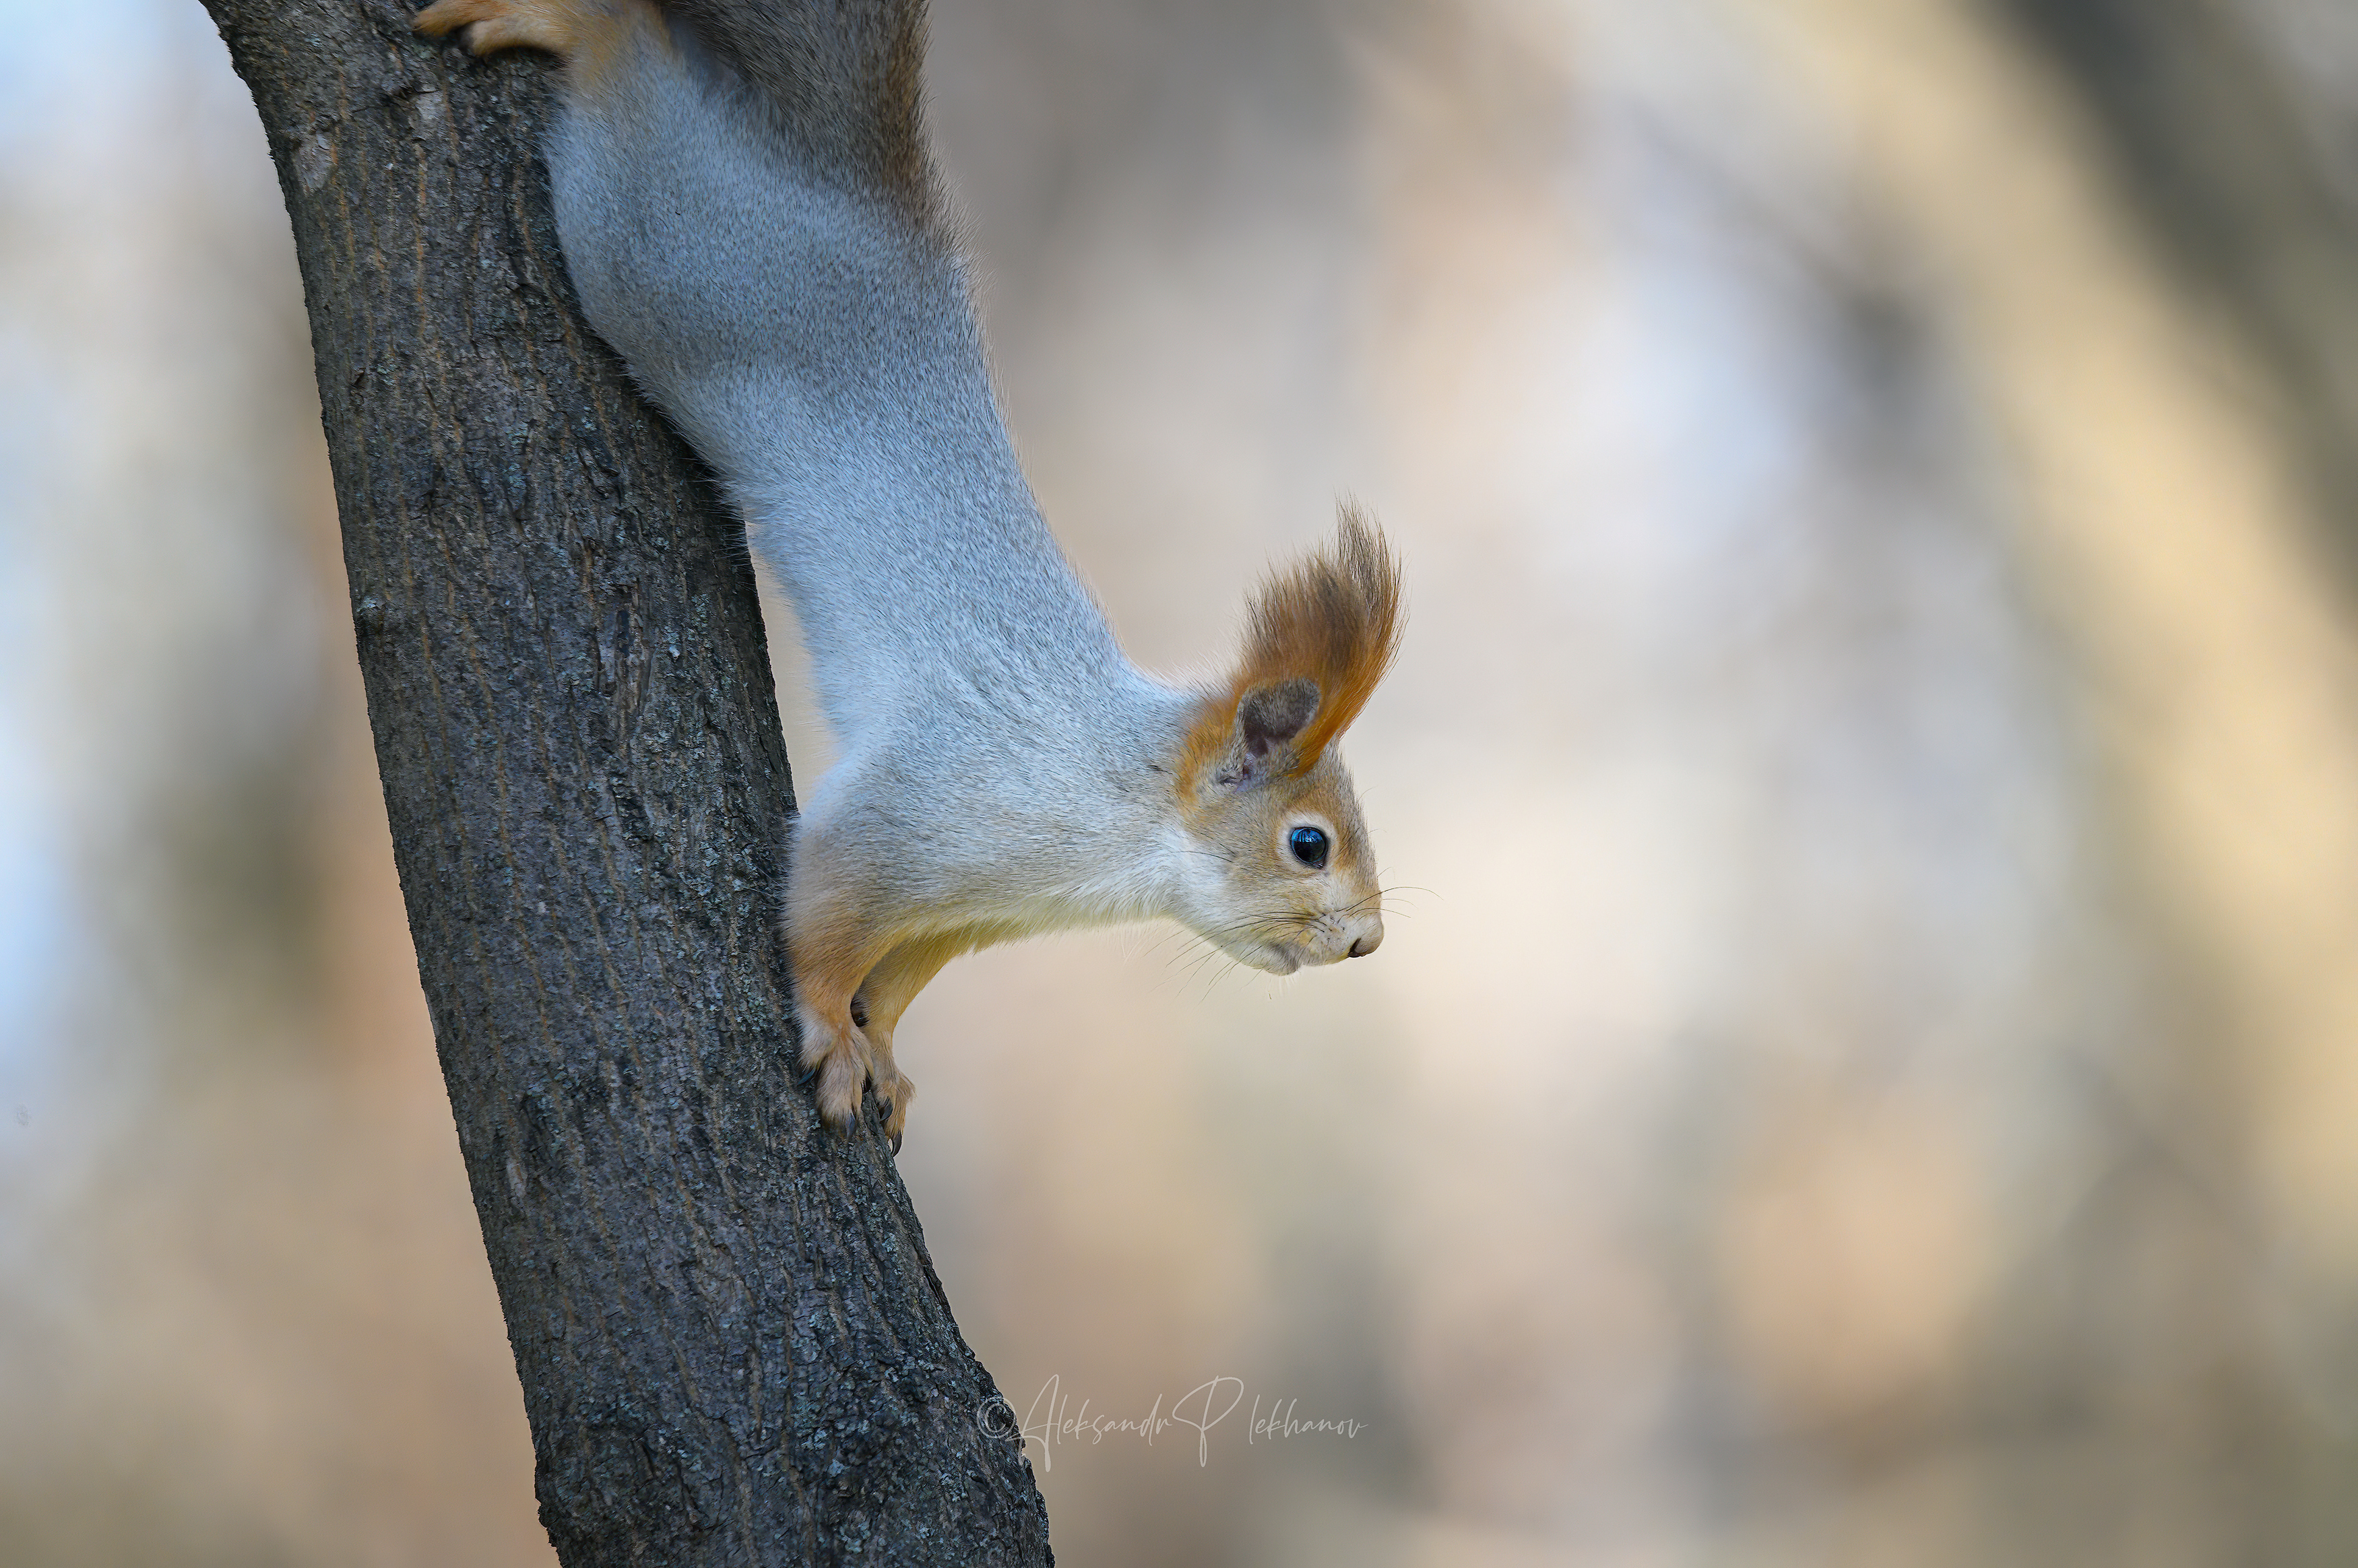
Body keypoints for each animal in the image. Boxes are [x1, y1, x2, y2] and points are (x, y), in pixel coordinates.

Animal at [410, 0, 1396, 1150]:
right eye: (1308, 844)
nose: (1368, 944)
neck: (1121, 813)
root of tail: (840, 188)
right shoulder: (924, 811)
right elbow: (826, 913)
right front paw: (831, 1032)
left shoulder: (975, 909)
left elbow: (898, 976)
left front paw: (879, 1044)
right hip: (656, 250)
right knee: (629, 79)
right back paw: (572, 26)